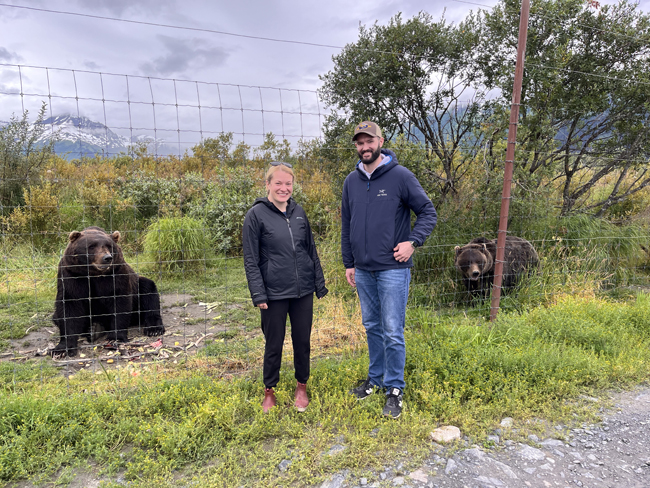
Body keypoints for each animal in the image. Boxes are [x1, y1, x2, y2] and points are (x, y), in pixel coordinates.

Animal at [51, 226, 165, 357]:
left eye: (109, 246)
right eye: (91, 246)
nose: (107, 258)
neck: (94, 274)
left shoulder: (115, 274)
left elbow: (119, 303)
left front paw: (115, 338)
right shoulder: (72, 275)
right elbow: (69, 308)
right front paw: (61, 349)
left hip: (138, 290)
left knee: (148, 290)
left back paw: (154, 329)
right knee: (56, 317)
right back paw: (94, 329)